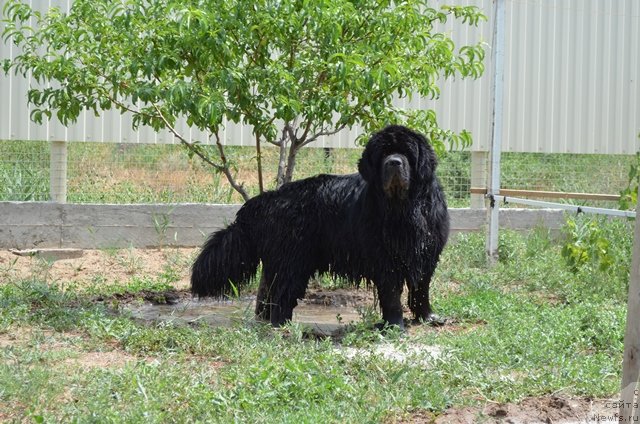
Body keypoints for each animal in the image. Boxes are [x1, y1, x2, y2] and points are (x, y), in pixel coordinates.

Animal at [192, 124, 448, 330]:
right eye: (383, 154)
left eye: (407, 152)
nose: (394, 162)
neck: (403, 208)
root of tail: (268, 198)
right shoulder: (385, 259)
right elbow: (392, 293)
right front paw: (394, 325)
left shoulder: (426, 254)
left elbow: (421, 289)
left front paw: (427, 317)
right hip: (292, 260)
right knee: (283, 292)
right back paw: (282, 325)